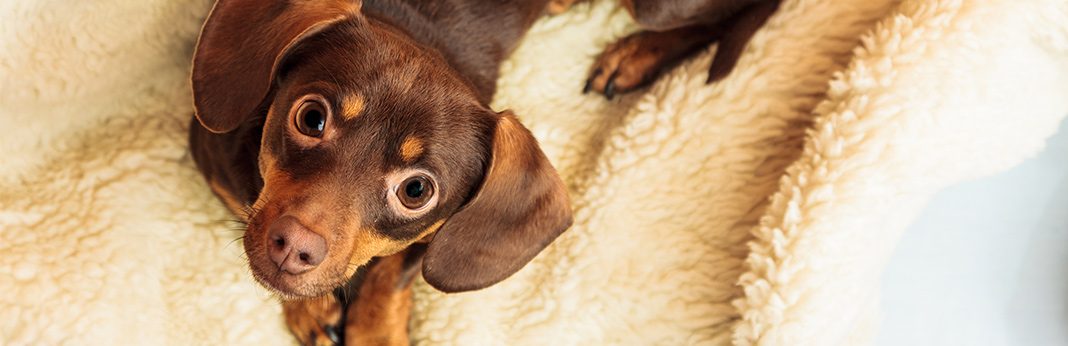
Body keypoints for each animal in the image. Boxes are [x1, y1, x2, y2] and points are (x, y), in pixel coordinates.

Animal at [187, 0, 777, 343]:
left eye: (416, 190)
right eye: (311, 118)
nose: (292, 247)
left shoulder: (433, 238)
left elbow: (389, 274)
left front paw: (373, 332)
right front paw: (308, 310)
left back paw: (636, 56)